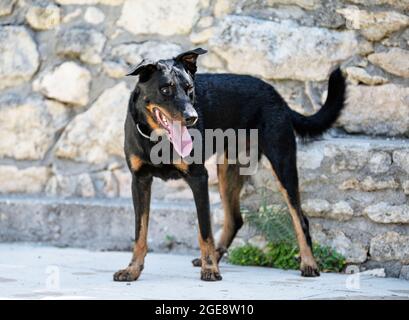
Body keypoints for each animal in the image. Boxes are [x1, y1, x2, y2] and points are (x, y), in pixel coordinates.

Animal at [112, 48, 344, 282]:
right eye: (165, 89)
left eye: (189, 89)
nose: (192, 117)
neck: (157, 139)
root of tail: (277, 96)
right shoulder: (139, 181)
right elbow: (140, 231)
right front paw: (133, 269)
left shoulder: (199, 178)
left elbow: (204, 229)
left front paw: (210, 269)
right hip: (229, 169)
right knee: (235, 219)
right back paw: (216, 256)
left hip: (283, 163)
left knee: (300, 218)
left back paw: (308, 263)